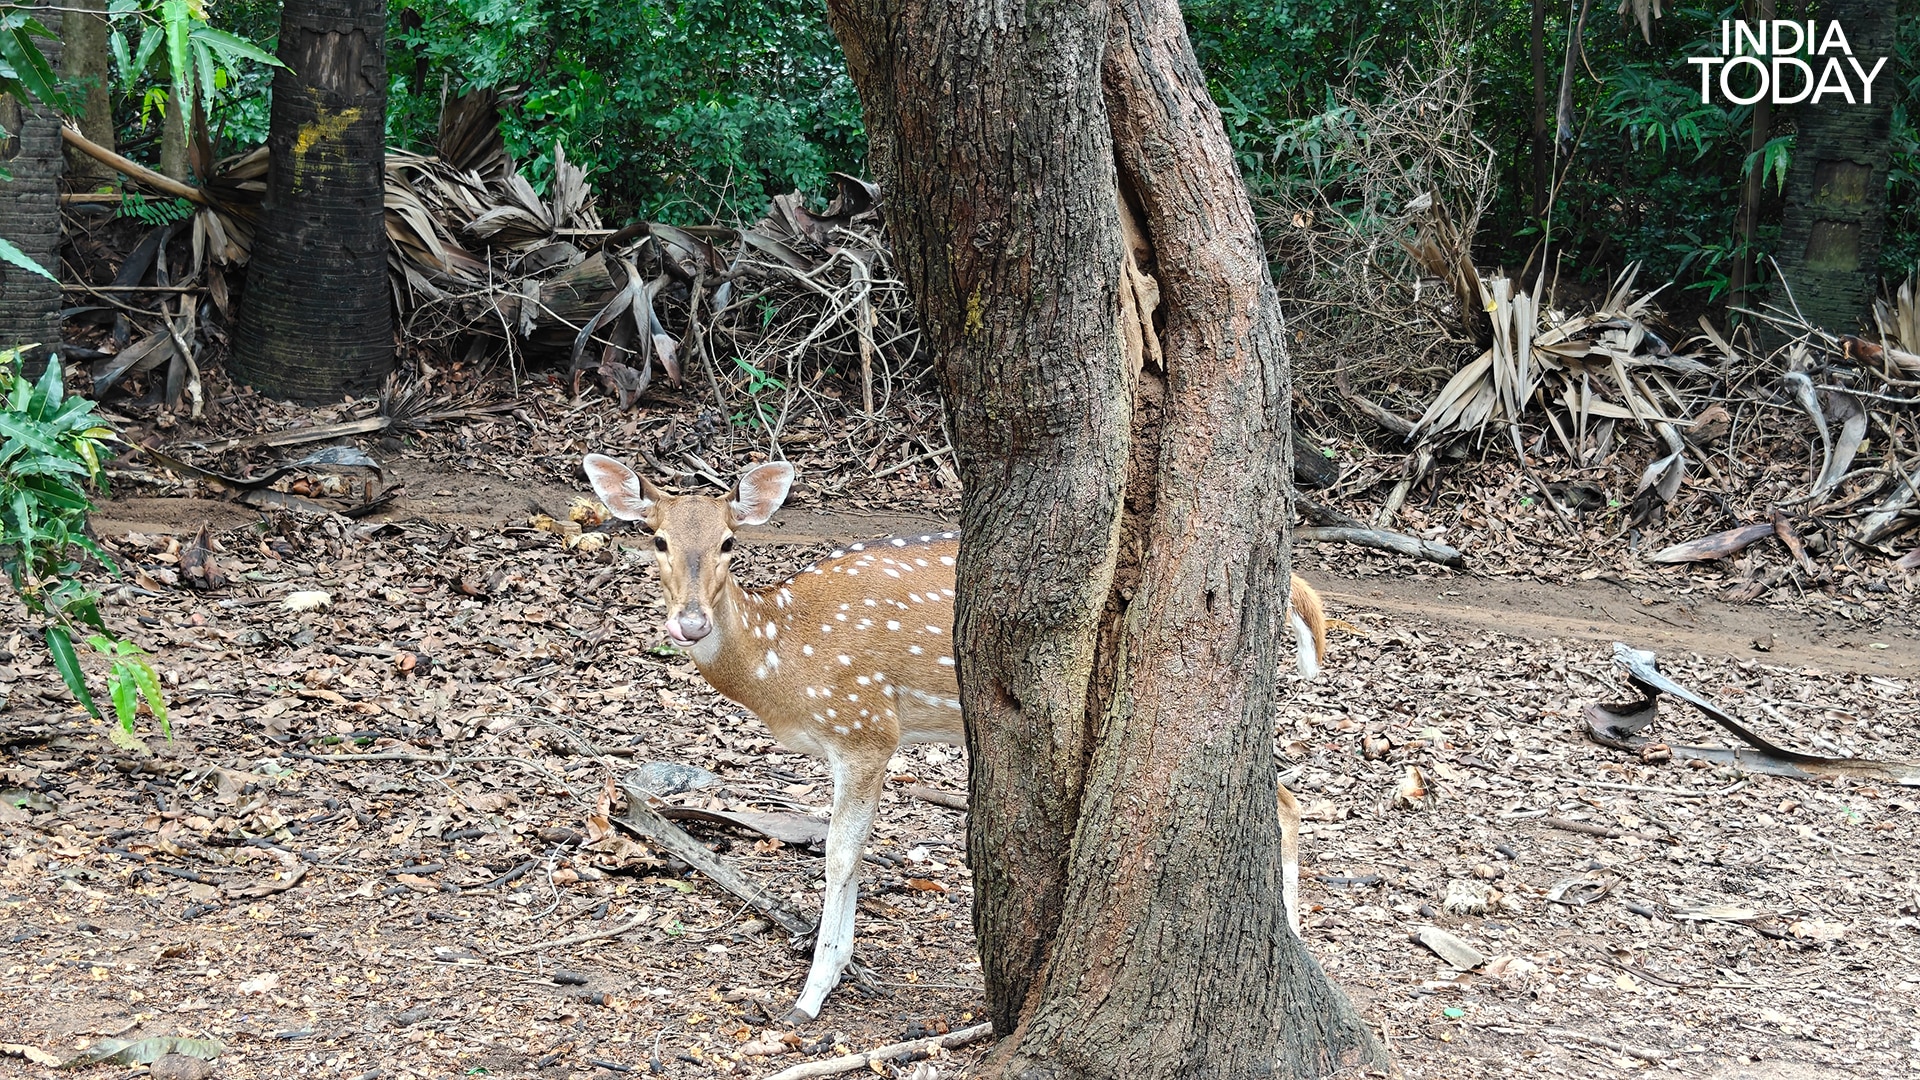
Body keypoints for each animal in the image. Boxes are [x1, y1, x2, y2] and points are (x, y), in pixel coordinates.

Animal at [581, 453, 1330, 1021]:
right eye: (656, 538)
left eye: (730, 542)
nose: (690, 623)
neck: (782, 663)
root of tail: (1291, 584)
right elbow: (852, 852)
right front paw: (834, 972)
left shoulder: (865, 726)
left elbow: (839, 857)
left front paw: (810, 996)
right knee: (1286, 796)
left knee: (1280, 798)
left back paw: (1292, 938)